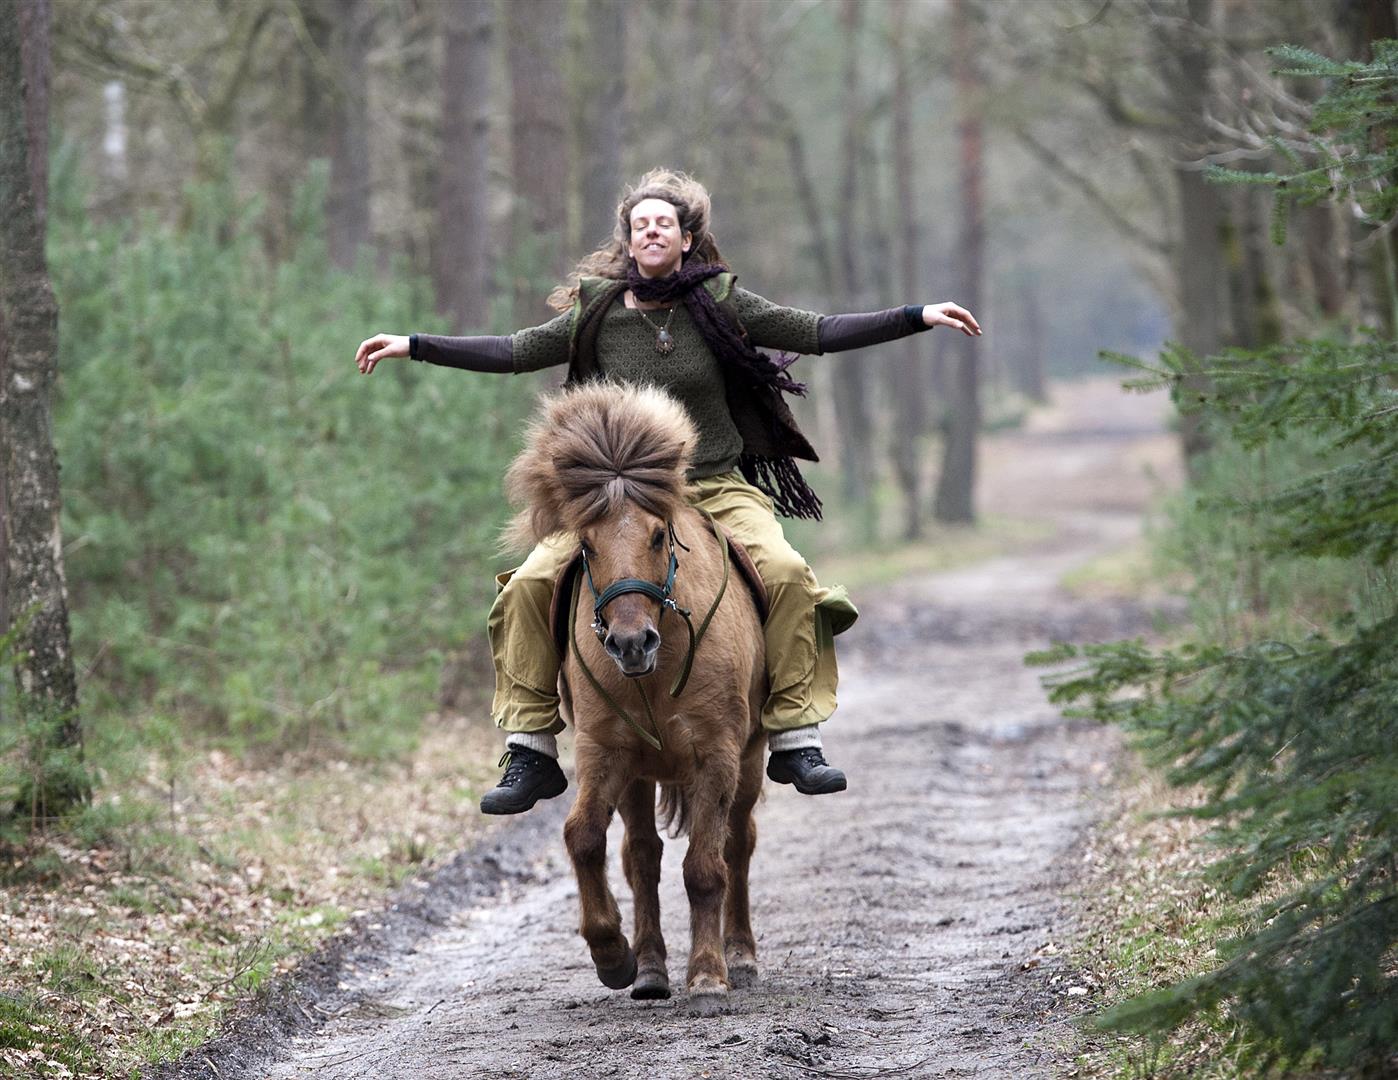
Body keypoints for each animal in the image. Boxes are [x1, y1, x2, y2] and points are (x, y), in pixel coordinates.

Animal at [506, 380, 766, 1011]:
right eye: (587, 544)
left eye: (656, 533)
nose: (629, 642)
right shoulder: (607, 752)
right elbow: (583, 838)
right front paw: (612, 955)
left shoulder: (717, 754)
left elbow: (705, 867)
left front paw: (708, 975)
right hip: (640, 773)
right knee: (642, 857)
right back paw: (648, 970)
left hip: (750, 760)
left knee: (738, 846)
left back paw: (740, 954)